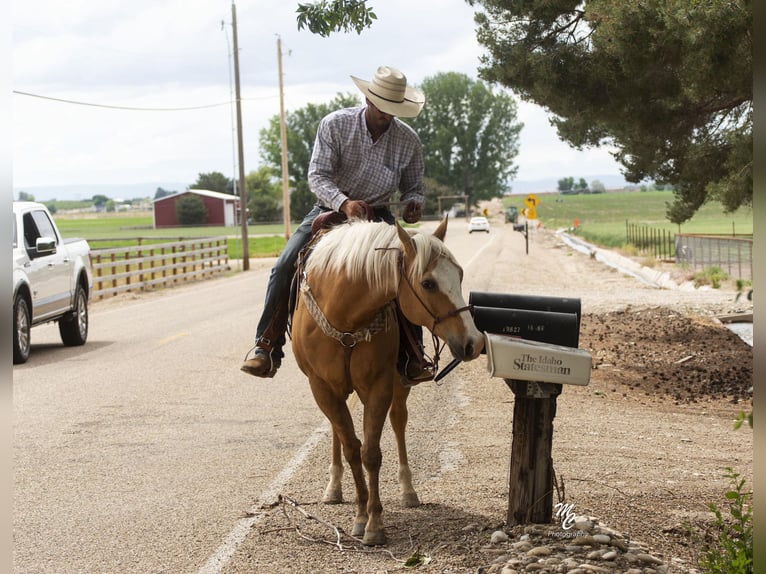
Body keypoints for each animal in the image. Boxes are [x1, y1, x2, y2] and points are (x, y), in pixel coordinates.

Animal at [292, 218, 484, 548]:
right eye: (428, 283)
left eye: (459, 275)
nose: (474, 342)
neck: (345, 316)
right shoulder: (322, 388)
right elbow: (351, 448)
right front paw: (360, 515)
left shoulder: (378, 386)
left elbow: (370, 452)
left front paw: (373, 523)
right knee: (337, 432)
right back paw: (333, 487)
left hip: (398, 385)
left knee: (398, 422)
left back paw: (408, 491)